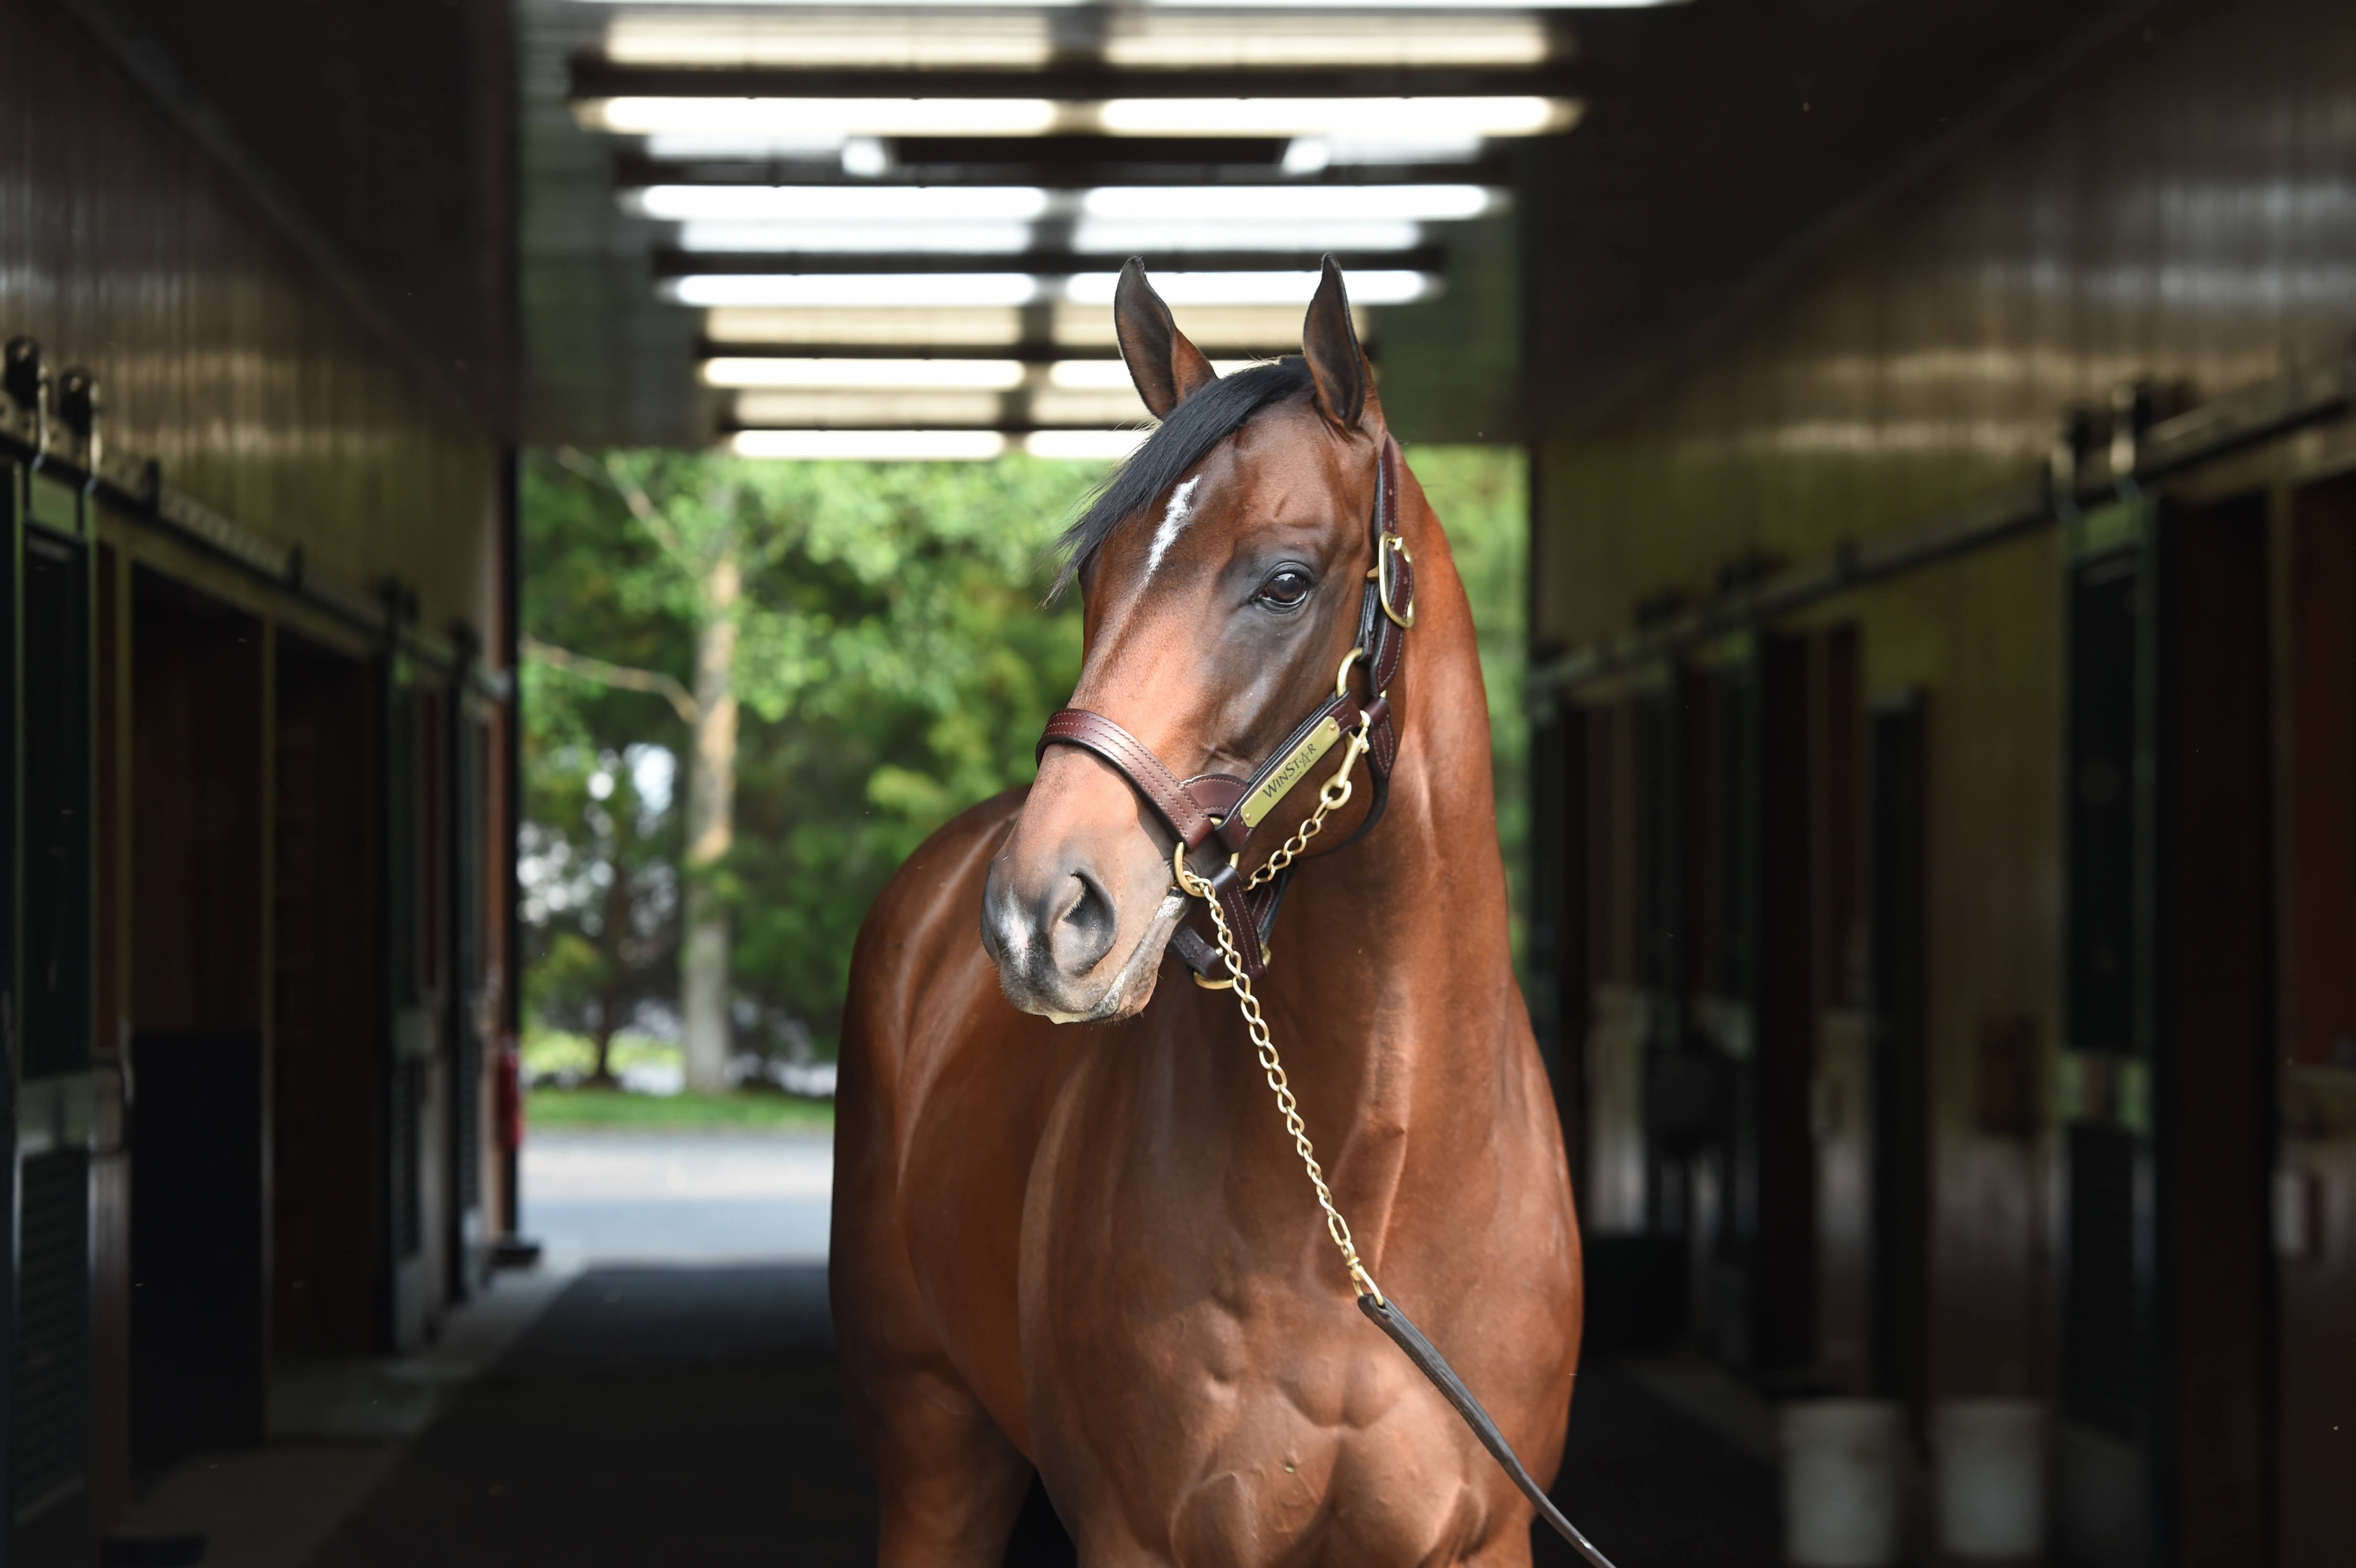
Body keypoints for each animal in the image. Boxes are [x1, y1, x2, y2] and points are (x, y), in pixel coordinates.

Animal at [829, 259, 1583, 1563]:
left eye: (1283, 581)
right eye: (1097, 575)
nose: (1041, 914)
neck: (1364, 1205)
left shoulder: (1486, 1538)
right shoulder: (1141, 1535)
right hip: (936, 1452)